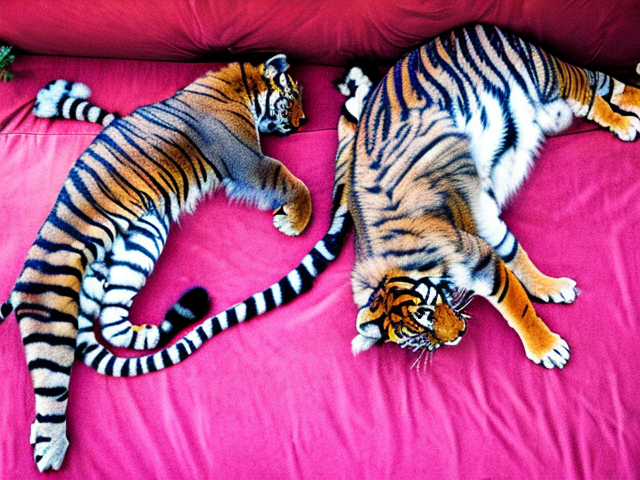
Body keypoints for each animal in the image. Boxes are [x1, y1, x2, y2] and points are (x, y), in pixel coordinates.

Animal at [0, 54, 309, 472]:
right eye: (293, 97)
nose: (304, 121)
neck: (239, 81)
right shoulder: (250, 161)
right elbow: (292, 181)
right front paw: (295, 221)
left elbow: (107, 117)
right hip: (54, 305)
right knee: (53, 384)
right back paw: (51, 447)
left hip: (143, 242)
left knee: (113, 323)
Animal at [348, 24, 640, 367]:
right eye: (418, 339)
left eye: (427, 313)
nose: (455, 336)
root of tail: (474, 26)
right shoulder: (483, 223)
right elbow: (517, 256)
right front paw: (552, 289)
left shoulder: (479, 261)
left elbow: (515, 303)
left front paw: (546, 348)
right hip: (551, 104)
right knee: (601, 85)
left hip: (547, 77)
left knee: (589, 91)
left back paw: (625, 123)